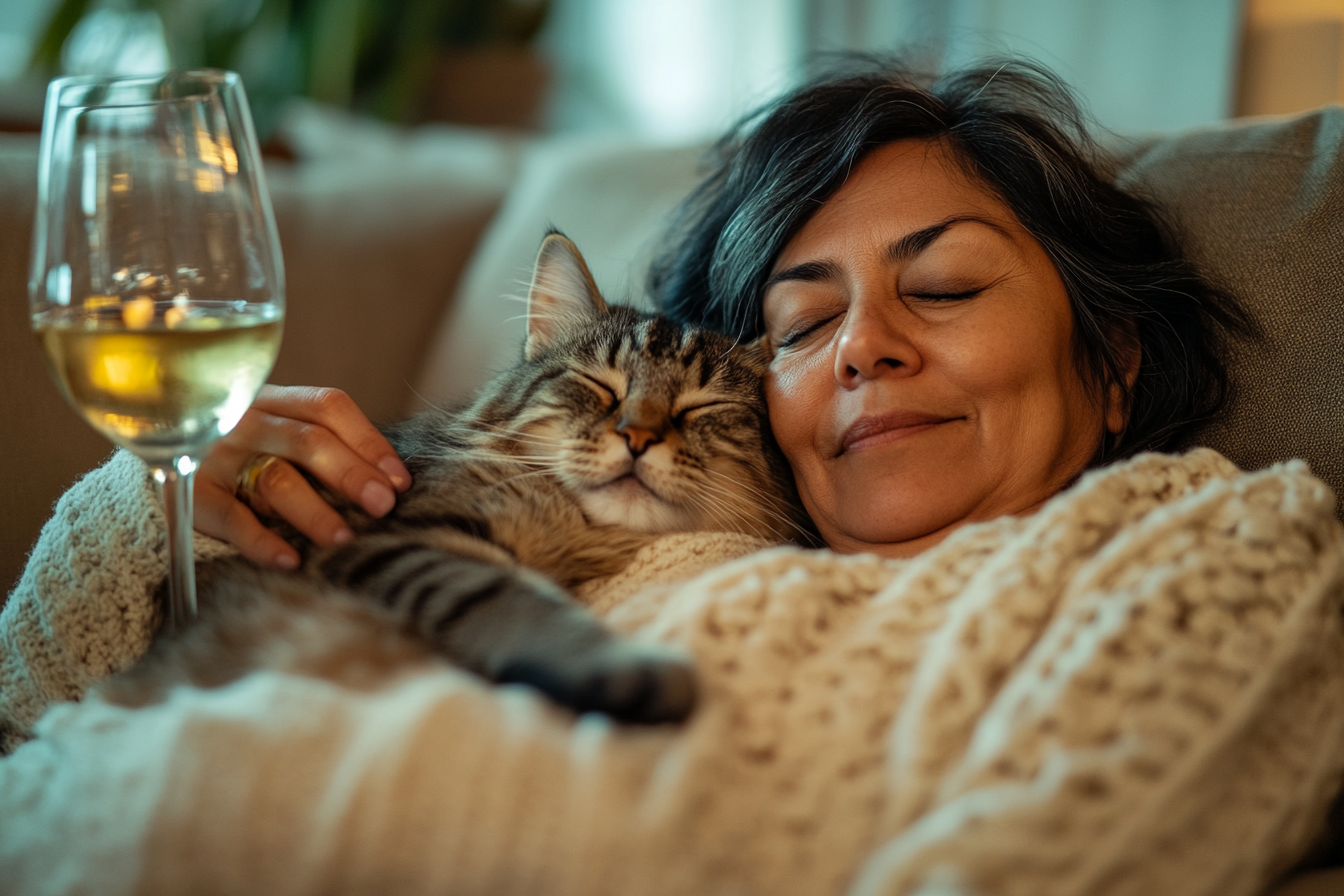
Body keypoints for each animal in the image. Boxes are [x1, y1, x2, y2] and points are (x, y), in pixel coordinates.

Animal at [97, 235, 806, 725]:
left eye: (699, 409)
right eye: (600, 387)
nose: (638, 436)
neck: (576, 531)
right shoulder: (398, 537)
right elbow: (514, 599)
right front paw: (626, 667)